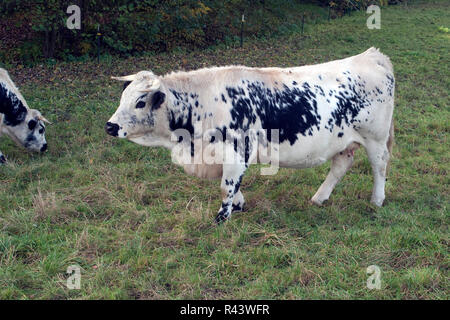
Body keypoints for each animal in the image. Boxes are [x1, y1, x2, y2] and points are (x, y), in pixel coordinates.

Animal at [107, 48, 396, 222]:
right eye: (123, 97)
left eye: (140, 102)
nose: (110, 126)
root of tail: (372, 55)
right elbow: (230, 184)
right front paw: (238, 205)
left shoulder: (237, 149)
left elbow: (227, 185)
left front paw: (222, 217)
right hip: (344, 140)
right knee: (341, 164)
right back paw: (319, 198)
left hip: (375, 138)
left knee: (379, 165)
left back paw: (377, 200)